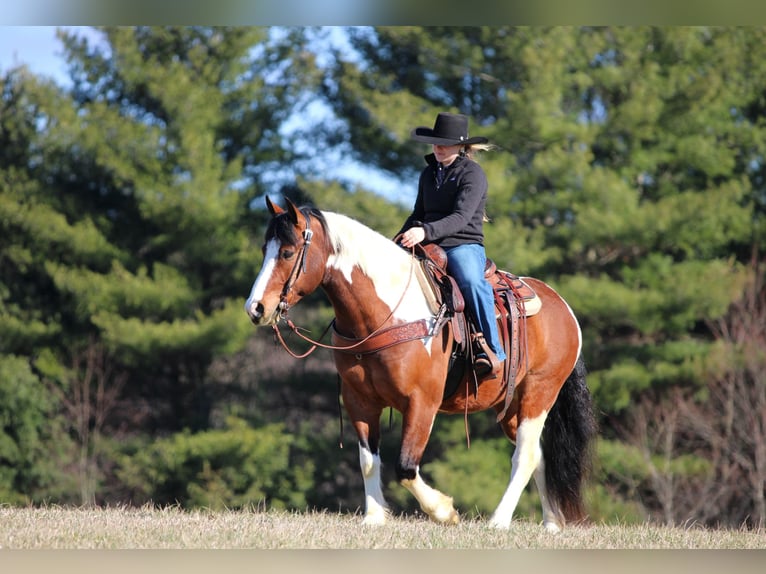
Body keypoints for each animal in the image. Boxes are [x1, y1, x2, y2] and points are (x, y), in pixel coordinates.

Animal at [244, 197, 596, 532]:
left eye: (288, 252)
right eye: (264, 250)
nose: (256, 308)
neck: (383, 314)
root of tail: (563, 307)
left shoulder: (421, 403)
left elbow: (405, 467)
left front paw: (444, 511)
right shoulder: (360, 401)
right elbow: (368, 461)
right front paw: (374, 517)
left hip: (540, 393)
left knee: (524, 456)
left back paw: (498, 521)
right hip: (511, 406)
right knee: (539, 456)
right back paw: (551, 523)